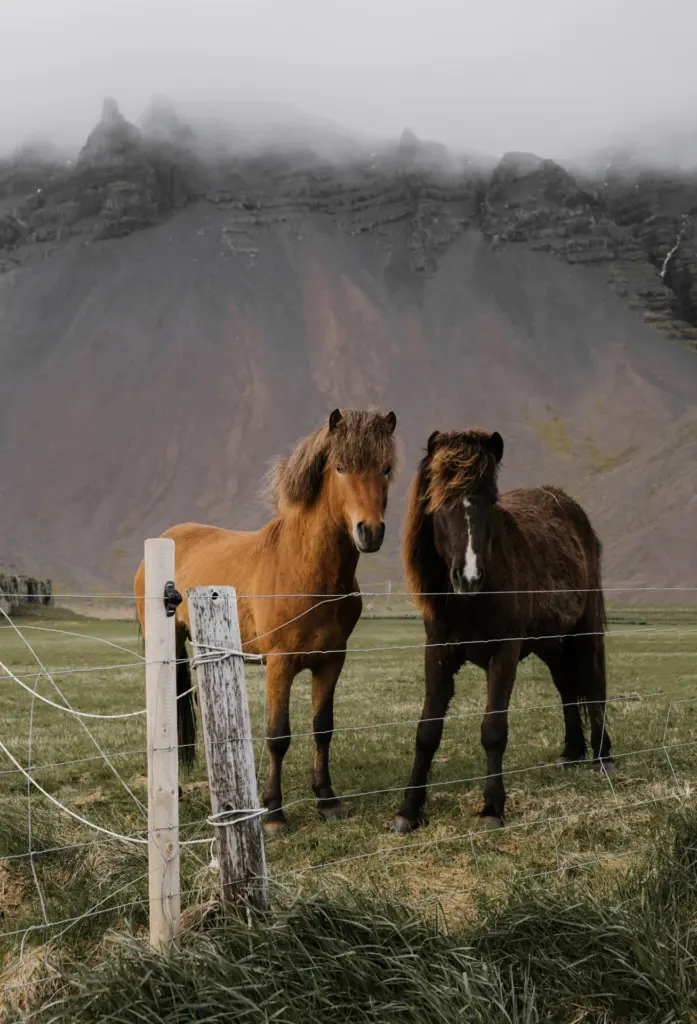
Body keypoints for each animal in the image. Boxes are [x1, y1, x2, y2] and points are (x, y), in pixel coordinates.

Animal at [134, 408, 397, 833]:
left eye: (386, 469)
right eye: (340, 467)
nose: (369, 531)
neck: (305, 571)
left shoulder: (331, 662)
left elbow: (323, 728)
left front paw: (327, 800)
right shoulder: (280, 664)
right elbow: (278, 735)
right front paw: (274, 812)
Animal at [391, 427, 613, 835]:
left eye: (490, 502)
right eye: (439, 502)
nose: (468, 577)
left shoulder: (504, 653)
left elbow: (493, 730)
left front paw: (492, 807)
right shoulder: (438, 652)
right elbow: (427, 731)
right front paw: (409, 811)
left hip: (585, 631)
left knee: (594, 685)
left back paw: (603, 755)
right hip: (550, 642)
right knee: (566, 687)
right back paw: (572, 752)